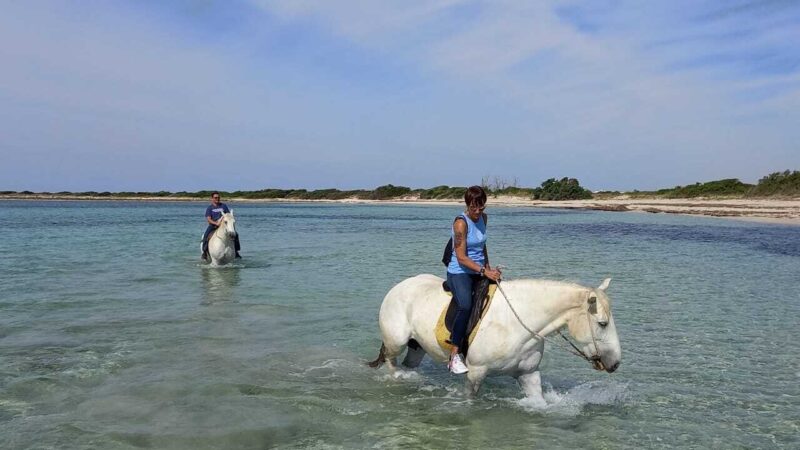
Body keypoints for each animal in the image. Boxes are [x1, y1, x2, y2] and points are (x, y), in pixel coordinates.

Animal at [370, 274, 624, 400]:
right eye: (602, 324)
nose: (615, 363)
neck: (517, 323)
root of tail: (397, 288)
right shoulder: (475, 373)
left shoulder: (528, 374)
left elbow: (539, 403)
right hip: (396, 343)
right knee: (391, 363)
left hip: (417, 347)